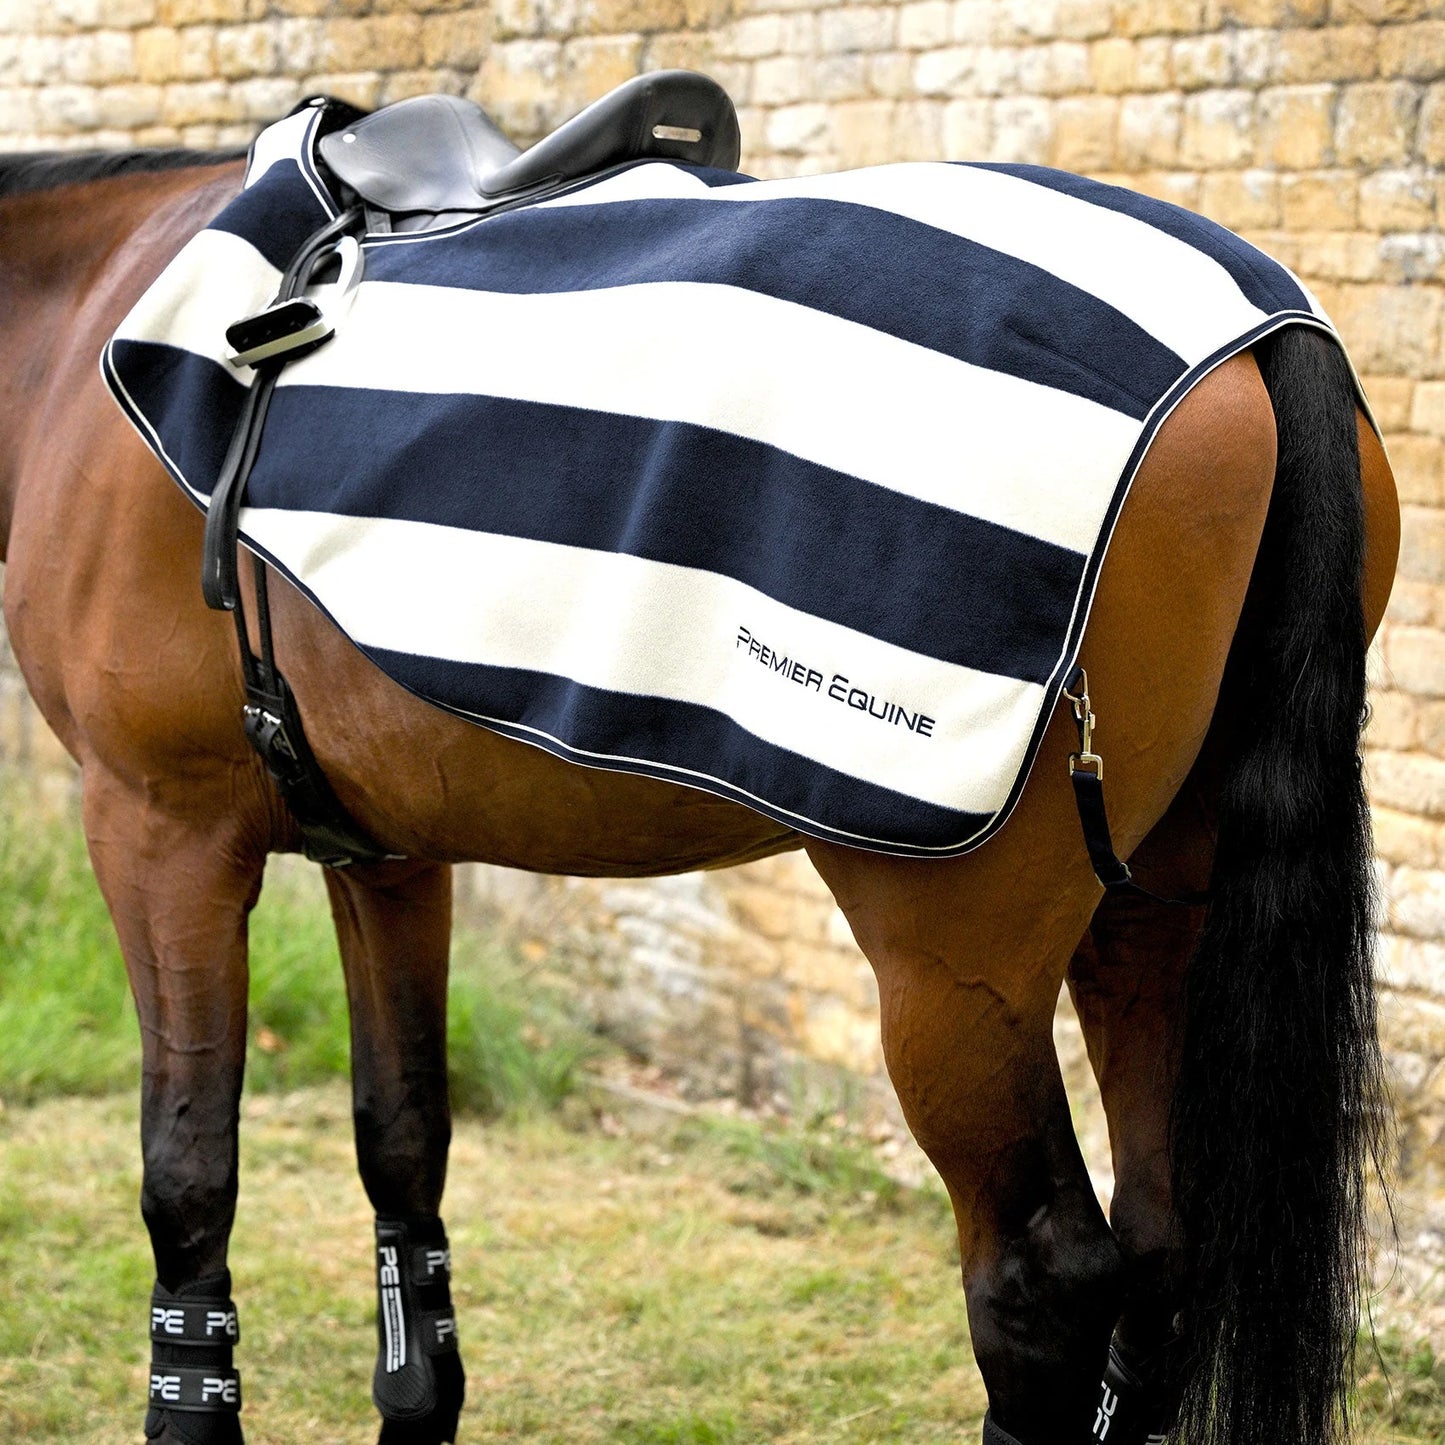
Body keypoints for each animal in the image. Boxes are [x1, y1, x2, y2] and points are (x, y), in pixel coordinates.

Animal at [0, 133, 1401, 1445]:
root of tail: (1259, 337)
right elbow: (401, 1135)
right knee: (1163, 1238)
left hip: (957, 960)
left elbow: (187, 1169)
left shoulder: (159, 828)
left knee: (1041, 1277)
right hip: (1149, 912)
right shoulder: (385, 853)